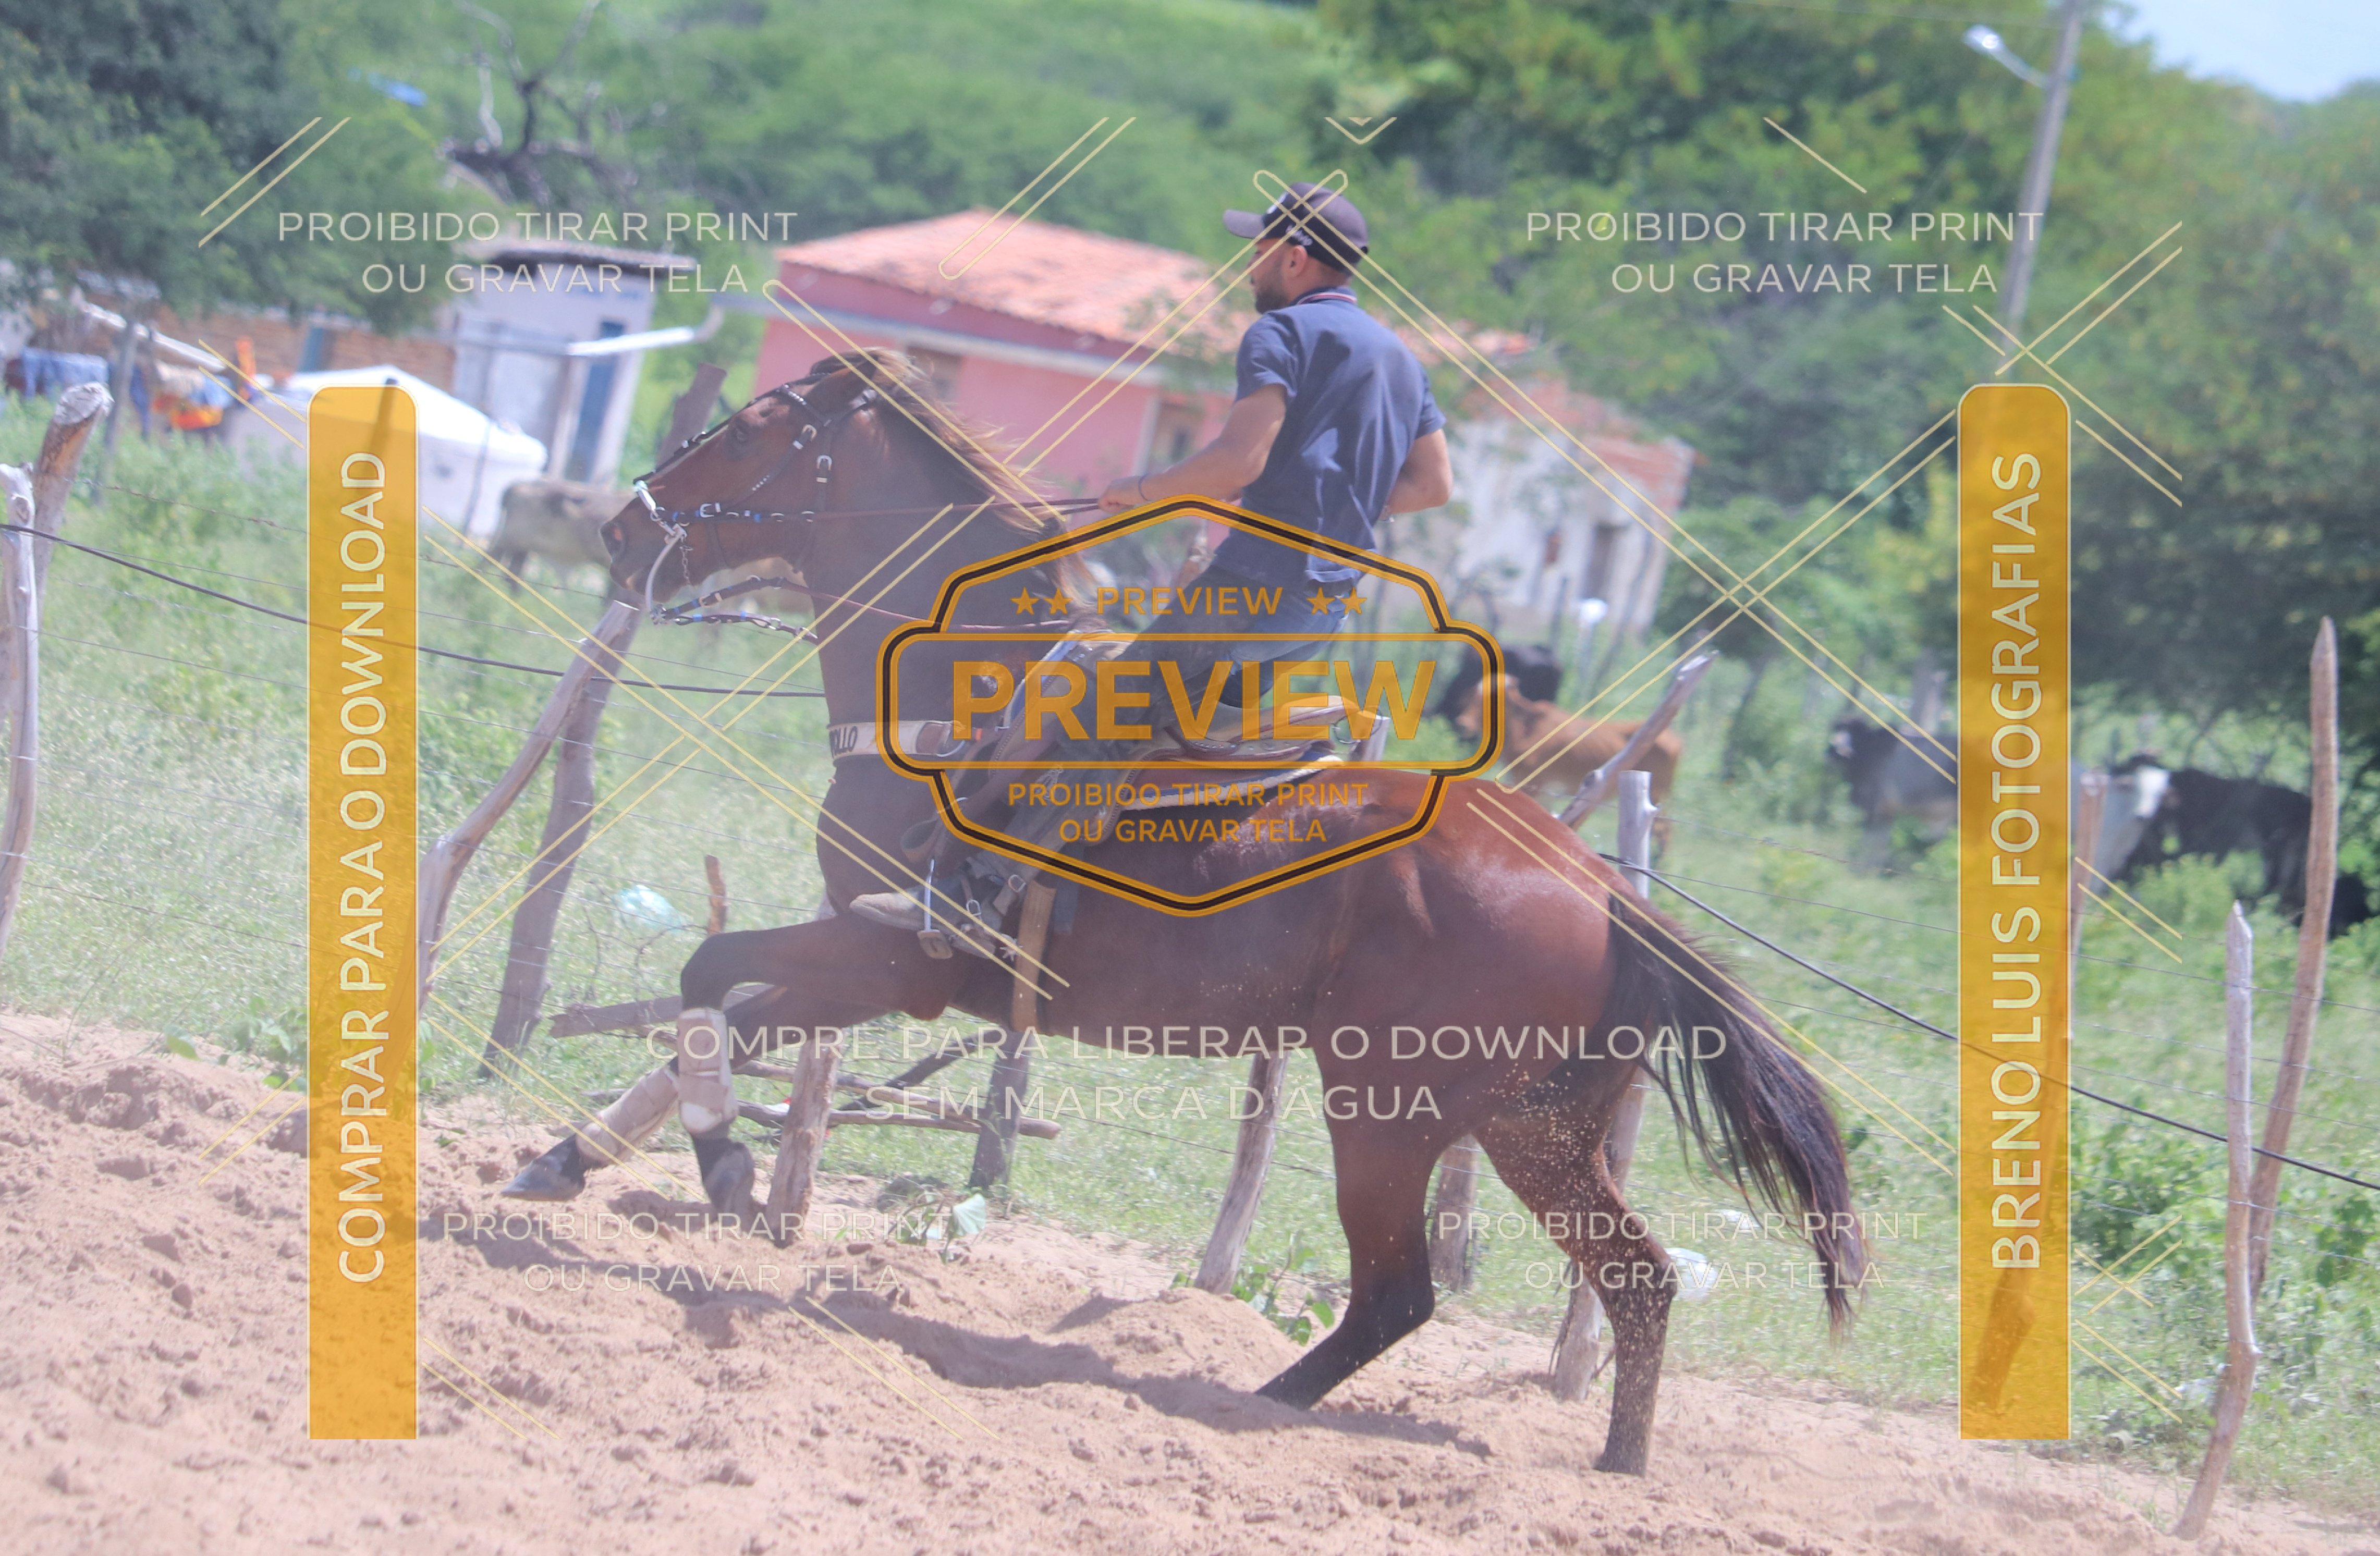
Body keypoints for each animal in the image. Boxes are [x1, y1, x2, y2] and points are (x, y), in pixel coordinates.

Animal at [548, 349, 1861, 1474]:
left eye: (749, 430)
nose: (617, 526)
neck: (954, 694)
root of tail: (1594, 883)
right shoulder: (864, 968)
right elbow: (721, 1010)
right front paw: (572, 1159)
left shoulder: (890, 958)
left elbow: (706, 974)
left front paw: (720, 1166)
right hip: (1536, 1125)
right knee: (1633, 1281)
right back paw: (1615, 1463)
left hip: (1392, 1115)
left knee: (1402, 1289)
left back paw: (1250, 1408)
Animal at [1826, 716, 1957, 867]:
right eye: (1837, 730)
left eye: (1854, 732)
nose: (1836, 749)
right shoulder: (1886, 812)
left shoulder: (1873, 808)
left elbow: (1871, 846)